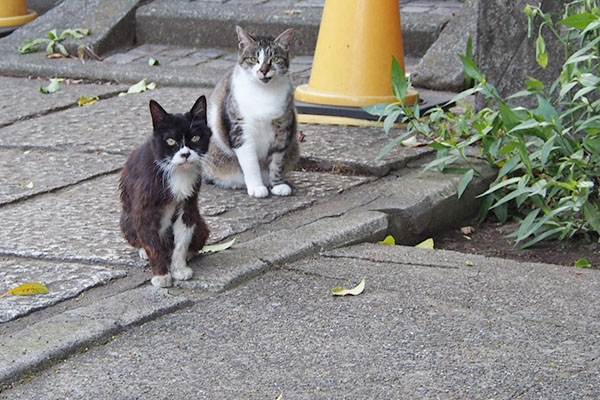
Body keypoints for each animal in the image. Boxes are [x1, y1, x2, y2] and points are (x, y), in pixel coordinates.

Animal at [119, 95, 211, 288]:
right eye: (170, 141)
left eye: (196, 138)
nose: (185, 154)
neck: (177, 171)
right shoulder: (143, 207)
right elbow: (152, 243)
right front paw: (161, 275)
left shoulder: (189, 204)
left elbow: (182, 240)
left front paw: (179, 268)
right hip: (126, 220)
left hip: (200, 223)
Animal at [203, 25, 300, 198]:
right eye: (254, 59)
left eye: (275, 59)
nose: (263, 70)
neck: (263, 92)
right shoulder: (241, 130)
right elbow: (250, 163)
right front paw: (256, 187)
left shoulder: (283, 129)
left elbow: (277, 161)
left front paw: (277, 185)